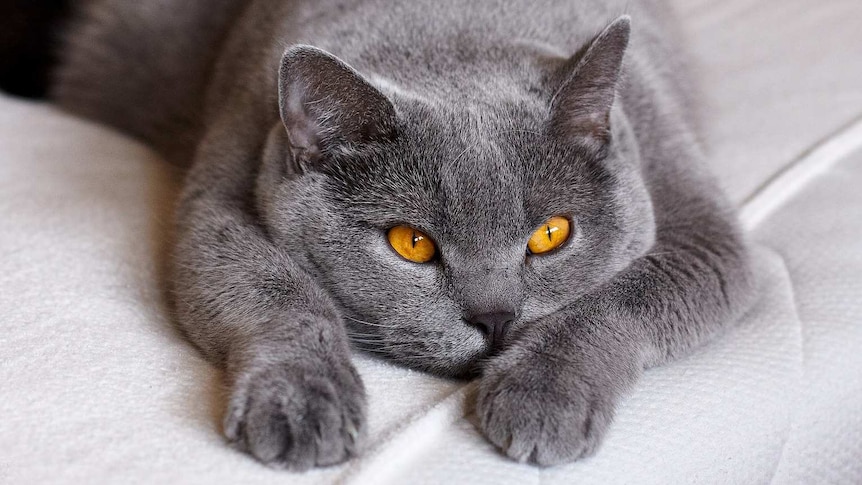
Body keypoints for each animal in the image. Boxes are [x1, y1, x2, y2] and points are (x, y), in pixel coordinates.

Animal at [45, 0, 756, 470]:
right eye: (411, 243)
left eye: (551, 234)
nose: (495, 319)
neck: (453, 34)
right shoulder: (217, 201)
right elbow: (273, 289)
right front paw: (303, 403)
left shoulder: (700, 227)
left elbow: (620, 299)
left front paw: (541, 397)